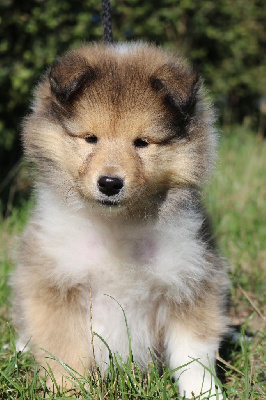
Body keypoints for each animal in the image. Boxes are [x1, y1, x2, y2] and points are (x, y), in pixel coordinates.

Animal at [10, 42, 229, 398]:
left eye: (142, 142)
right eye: (90, 138)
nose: (110, 183)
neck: (117, 225)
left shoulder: (190, 280)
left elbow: (193, 355)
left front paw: (204, 393)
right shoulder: (55, 284)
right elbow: (63, 353)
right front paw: (68, 390)